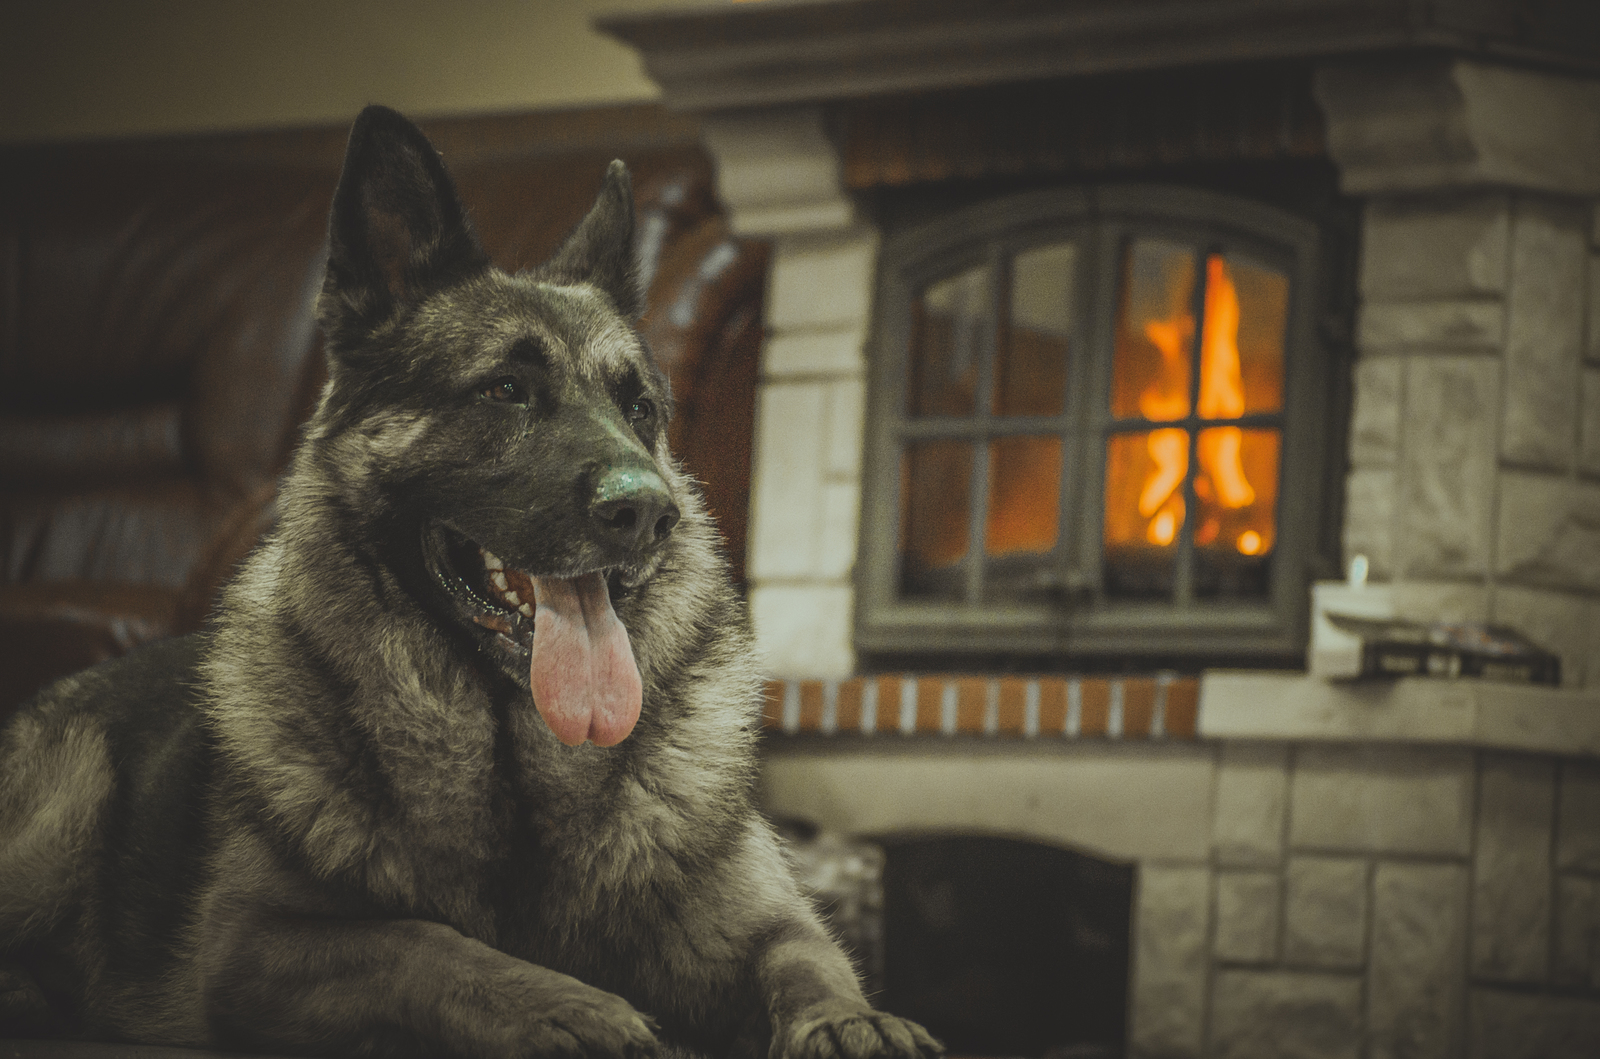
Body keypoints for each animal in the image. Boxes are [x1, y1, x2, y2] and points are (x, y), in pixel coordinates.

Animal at [0, 105, 940, 1059]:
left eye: (641, 409)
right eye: (506, 390)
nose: (649, 510)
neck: (514, 758)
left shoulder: (757, 920)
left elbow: (810, 956)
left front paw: (855, 1018)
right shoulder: (253, 946)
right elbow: (423, 943)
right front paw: (571, 1005)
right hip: (64, 814)